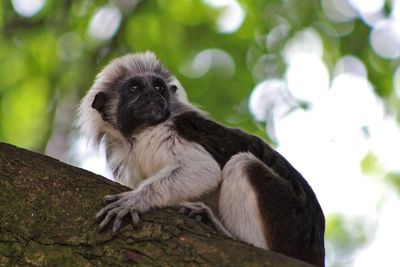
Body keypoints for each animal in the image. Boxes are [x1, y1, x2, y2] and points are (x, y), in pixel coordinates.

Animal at [77, 51, 324, 266]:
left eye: (158, 87)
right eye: (134, 87)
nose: (153, 95)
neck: (138, 136)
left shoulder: (168, 131)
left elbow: (203, 169)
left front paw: (136, 200)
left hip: (290, 222)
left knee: (243, 164)